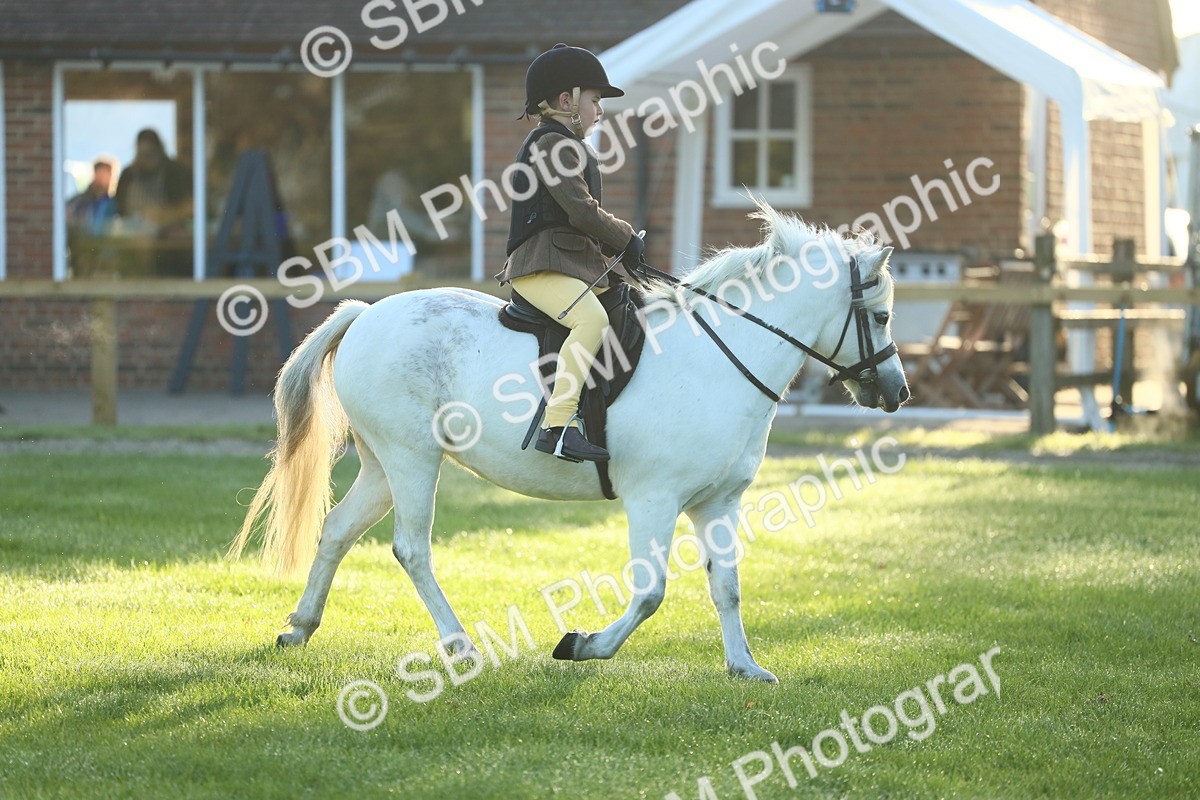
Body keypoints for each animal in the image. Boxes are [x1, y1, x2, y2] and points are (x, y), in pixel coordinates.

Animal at [231, 203, 909, 683]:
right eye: (879, 317)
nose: (897, 392)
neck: (719, 359)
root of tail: (365, 314)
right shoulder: (655, 499)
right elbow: (651, 593)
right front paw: (582, 645)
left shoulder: (718, 503)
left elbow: (727, 586)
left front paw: (745, 667)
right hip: (412, 458)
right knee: (411, 548)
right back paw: (459, 645)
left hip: (382, 464)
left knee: (338, 531)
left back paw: (299, 627)